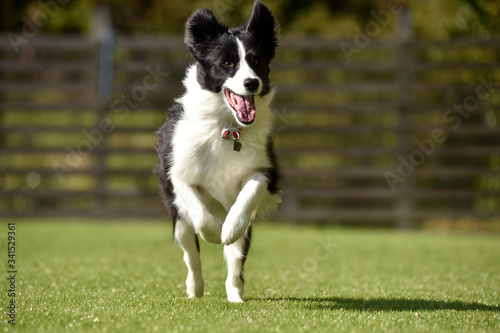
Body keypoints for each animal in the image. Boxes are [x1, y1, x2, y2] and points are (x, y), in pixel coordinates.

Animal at [154, 0, 282, 300]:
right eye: (226, 63)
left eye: (256, 61)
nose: (251, 83)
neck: (228, 127)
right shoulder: (177, 173)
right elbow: (200, 214)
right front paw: (213, 233)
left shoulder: (266, 170)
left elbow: (249, 193)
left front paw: (228, 229)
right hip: (178, 219)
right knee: (191, 253)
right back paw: (195, 289)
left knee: (235, 260)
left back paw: (235, 295)